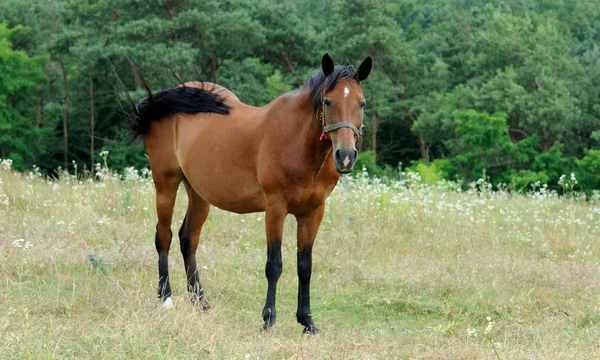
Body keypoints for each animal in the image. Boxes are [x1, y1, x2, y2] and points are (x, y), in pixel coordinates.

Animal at [130, 53, 370, 334]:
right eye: (327, 101)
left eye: (361, 103)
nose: (346, 156)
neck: (298, 142)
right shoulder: (275, 208)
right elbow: (274, 265)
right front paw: (269, 320)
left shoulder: (313, 212)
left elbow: (305, 266)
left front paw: (307, 321)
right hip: (165, 183)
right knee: (164, 236)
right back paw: (166, 298)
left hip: (199, 193)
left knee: (188, 238)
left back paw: (201, 302)